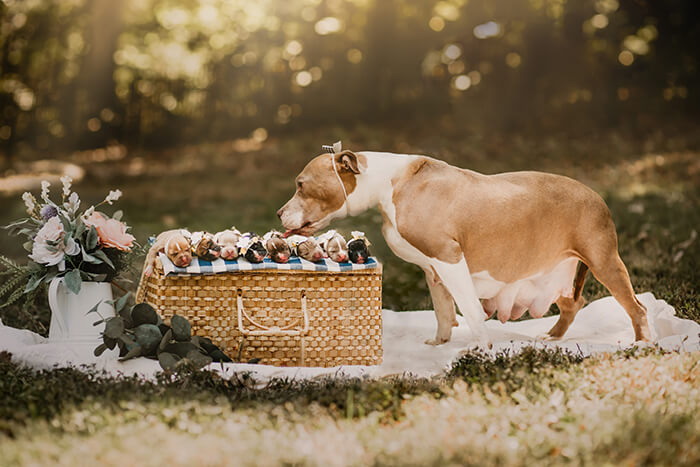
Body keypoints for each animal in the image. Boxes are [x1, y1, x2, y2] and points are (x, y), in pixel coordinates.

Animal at [276, 148, 652, 346]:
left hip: (604, 261)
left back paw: (643, 342)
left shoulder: (449, 259)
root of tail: (598, 197)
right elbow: (444, 311)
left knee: (636, 307)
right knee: (574, 304)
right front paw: (439, 345)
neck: (387, 185)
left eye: (301, 184)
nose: (279, 213)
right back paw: (552, 337)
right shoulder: (433, 269)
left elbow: (469, 309)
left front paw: (483, 348)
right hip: (555, 270)